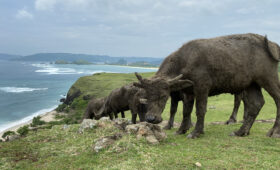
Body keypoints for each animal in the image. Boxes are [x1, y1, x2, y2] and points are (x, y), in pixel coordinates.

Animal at [133, 33, 280, 138]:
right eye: (147, 96)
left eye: (164, 96)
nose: (151, 118)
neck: (186, 61)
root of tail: (270, 43)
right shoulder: (188, 92)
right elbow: (186, 111)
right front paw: (181, 130)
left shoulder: (202, 87)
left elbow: (200, 109)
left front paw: (196, 132)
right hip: (252, 84)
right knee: (256, 104)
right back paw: (241, 132)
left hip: (268, 78)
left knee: (277, 99)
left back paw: (274, 132)